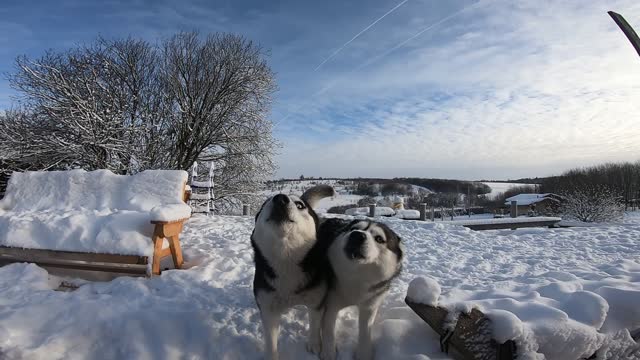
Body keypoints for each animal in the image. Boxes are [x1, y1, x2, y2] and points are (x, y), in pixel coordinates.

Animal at [252, 186, 402, 360]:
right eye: (266, 203)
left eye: (300, 205)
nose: (280, 199)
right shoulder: (270, 309)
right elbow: (272, 341)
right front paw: (327, 351)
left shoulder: (332, 304)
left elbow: (361, 330)